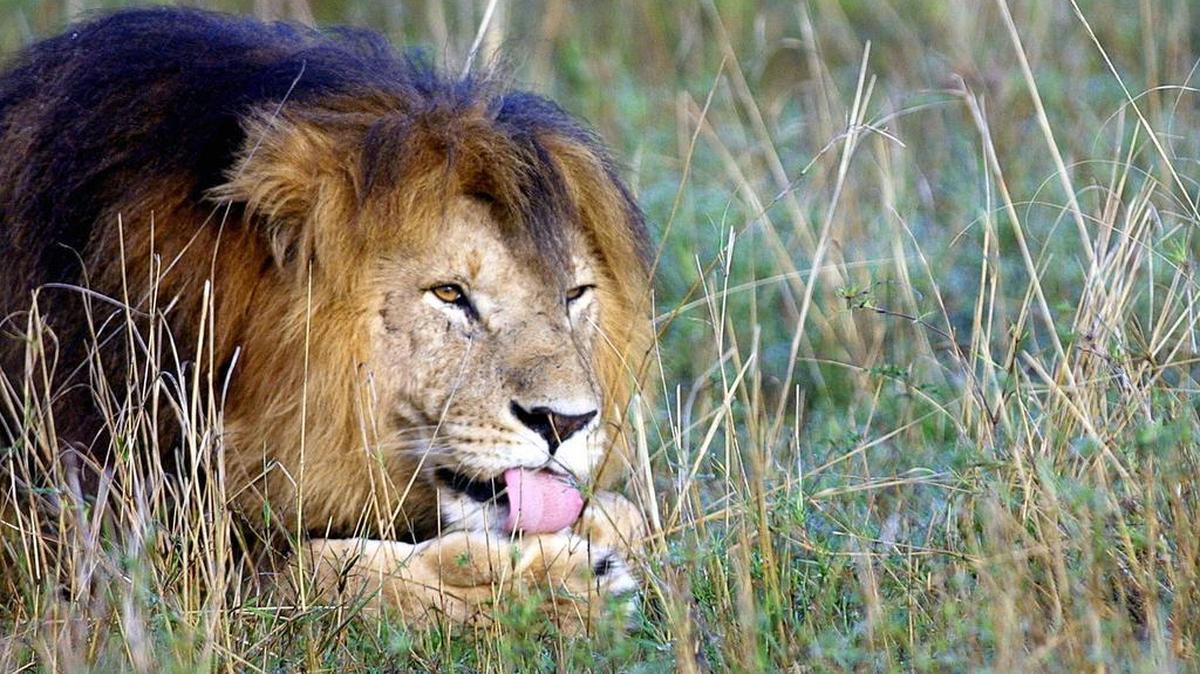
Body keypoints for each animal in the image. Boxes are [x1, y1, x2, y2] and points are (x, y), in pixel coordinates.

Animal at [0, 7, 652, 631]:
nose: (567, 423)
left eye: (574, 294)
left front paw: (602, 522)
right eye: (448, 293)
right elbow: (318, 570)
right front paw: (554, 584)